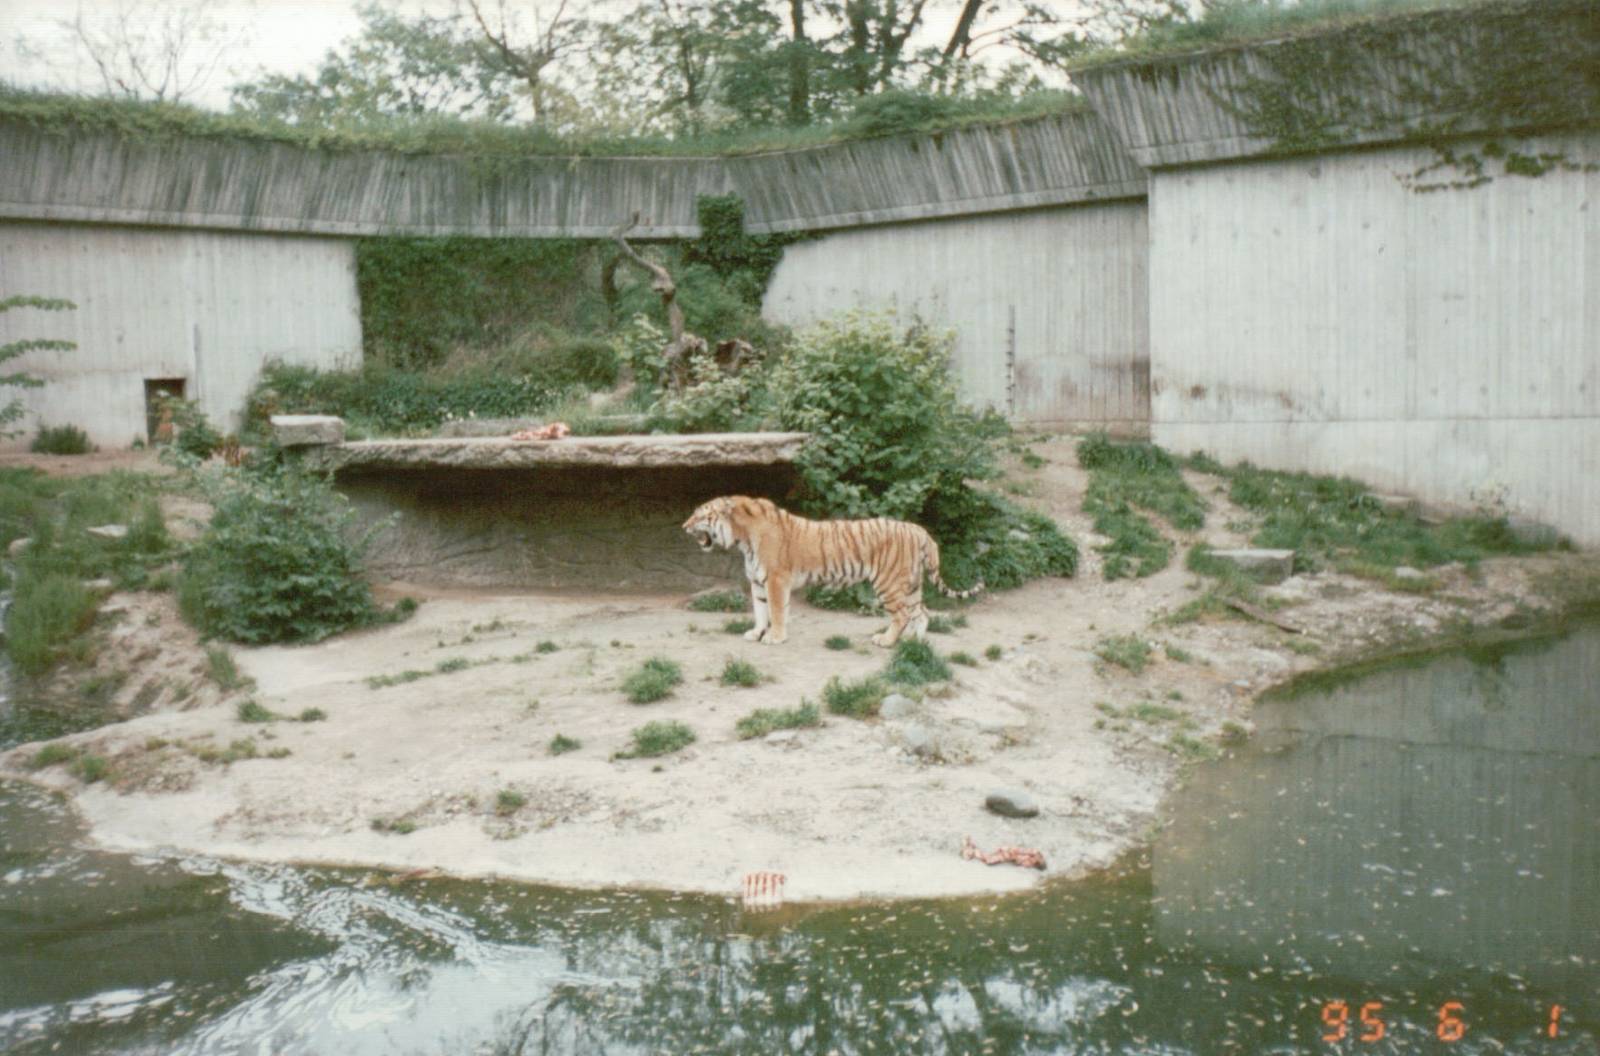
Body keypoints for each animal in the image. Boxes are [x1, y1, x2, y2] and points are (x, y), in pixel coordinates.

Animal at [682, 496, 982, 647]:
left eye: (700, 515)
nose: (684, 527)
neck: (742, 539)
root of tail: (919, 530)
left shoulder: (776, 580)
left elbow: (776, 611)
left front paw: (775, 637)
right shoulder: (758, 583)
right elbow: (760, 611)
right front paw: (756, 633)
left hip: (889, 583)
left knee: (903, 614)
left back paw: (886, 641)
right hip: (911, 585)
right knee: (922, 613)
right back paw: (912, 642)